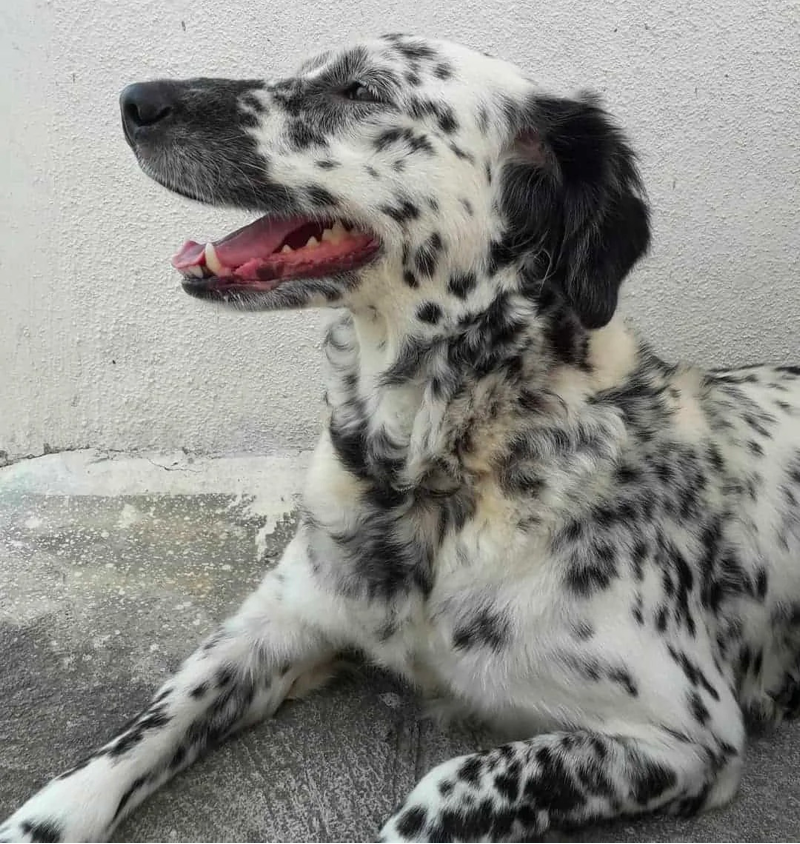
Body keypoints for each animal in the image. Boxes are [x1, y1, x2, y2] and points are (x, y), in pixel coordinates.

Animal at [1, 33, 800, 844]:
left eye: (361, 90)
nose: (134, 100)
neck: (431, 473)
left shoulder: (688, 733)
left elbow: (450, 783)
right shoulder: (277, 620)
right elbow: (142, 733)